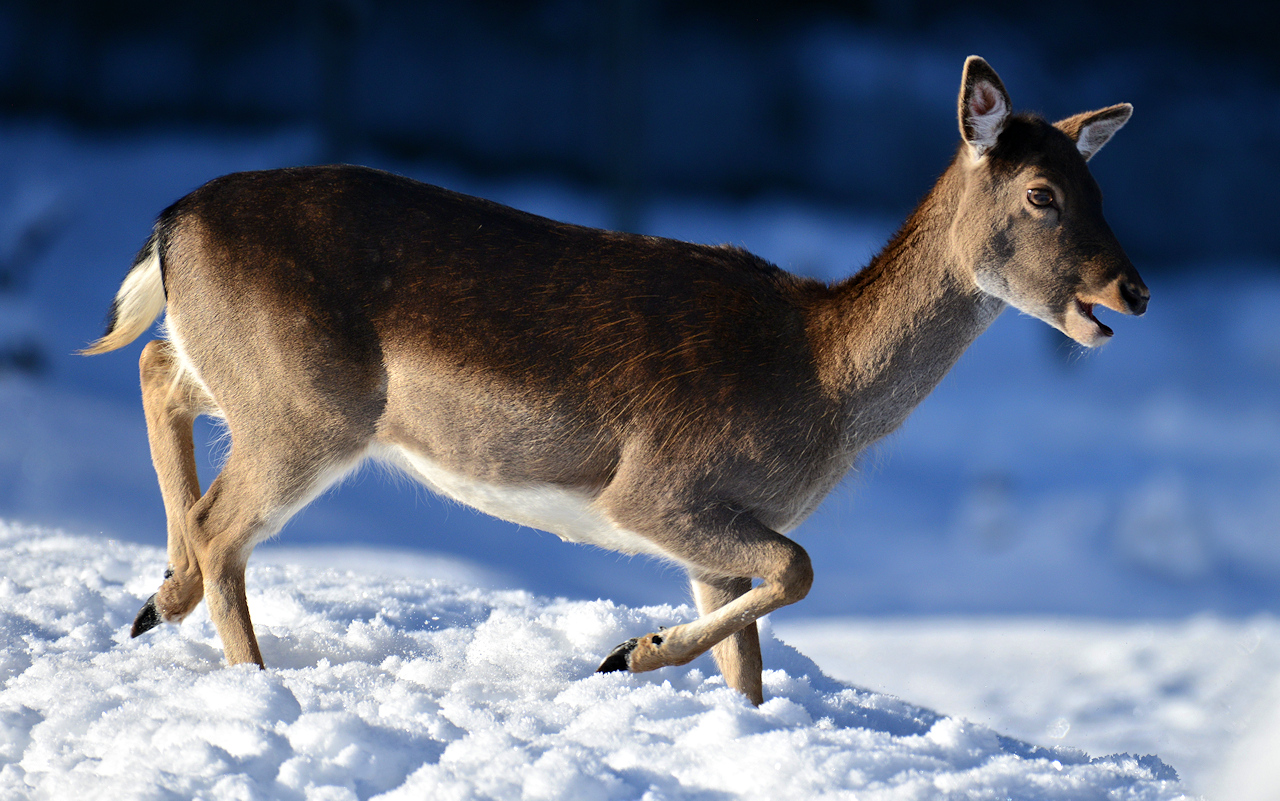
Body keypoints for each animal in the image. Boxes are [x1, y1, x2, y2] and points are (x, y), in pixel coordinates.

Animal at [85, 57, 1146, 706]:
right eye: (1042, 196)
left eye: (1101, 189)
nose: (1130, 291)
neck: (819, 374)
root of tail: (172, 221)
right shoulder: (657, 485)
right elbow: (802, 566)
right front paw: (627, 652)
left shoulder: (714, 539)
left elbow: (750, 665)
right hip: (308, 405)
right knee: (222, 522)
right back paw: (243, 669)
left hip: (253, 375)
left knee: (154, 370)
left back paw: (157, 597)